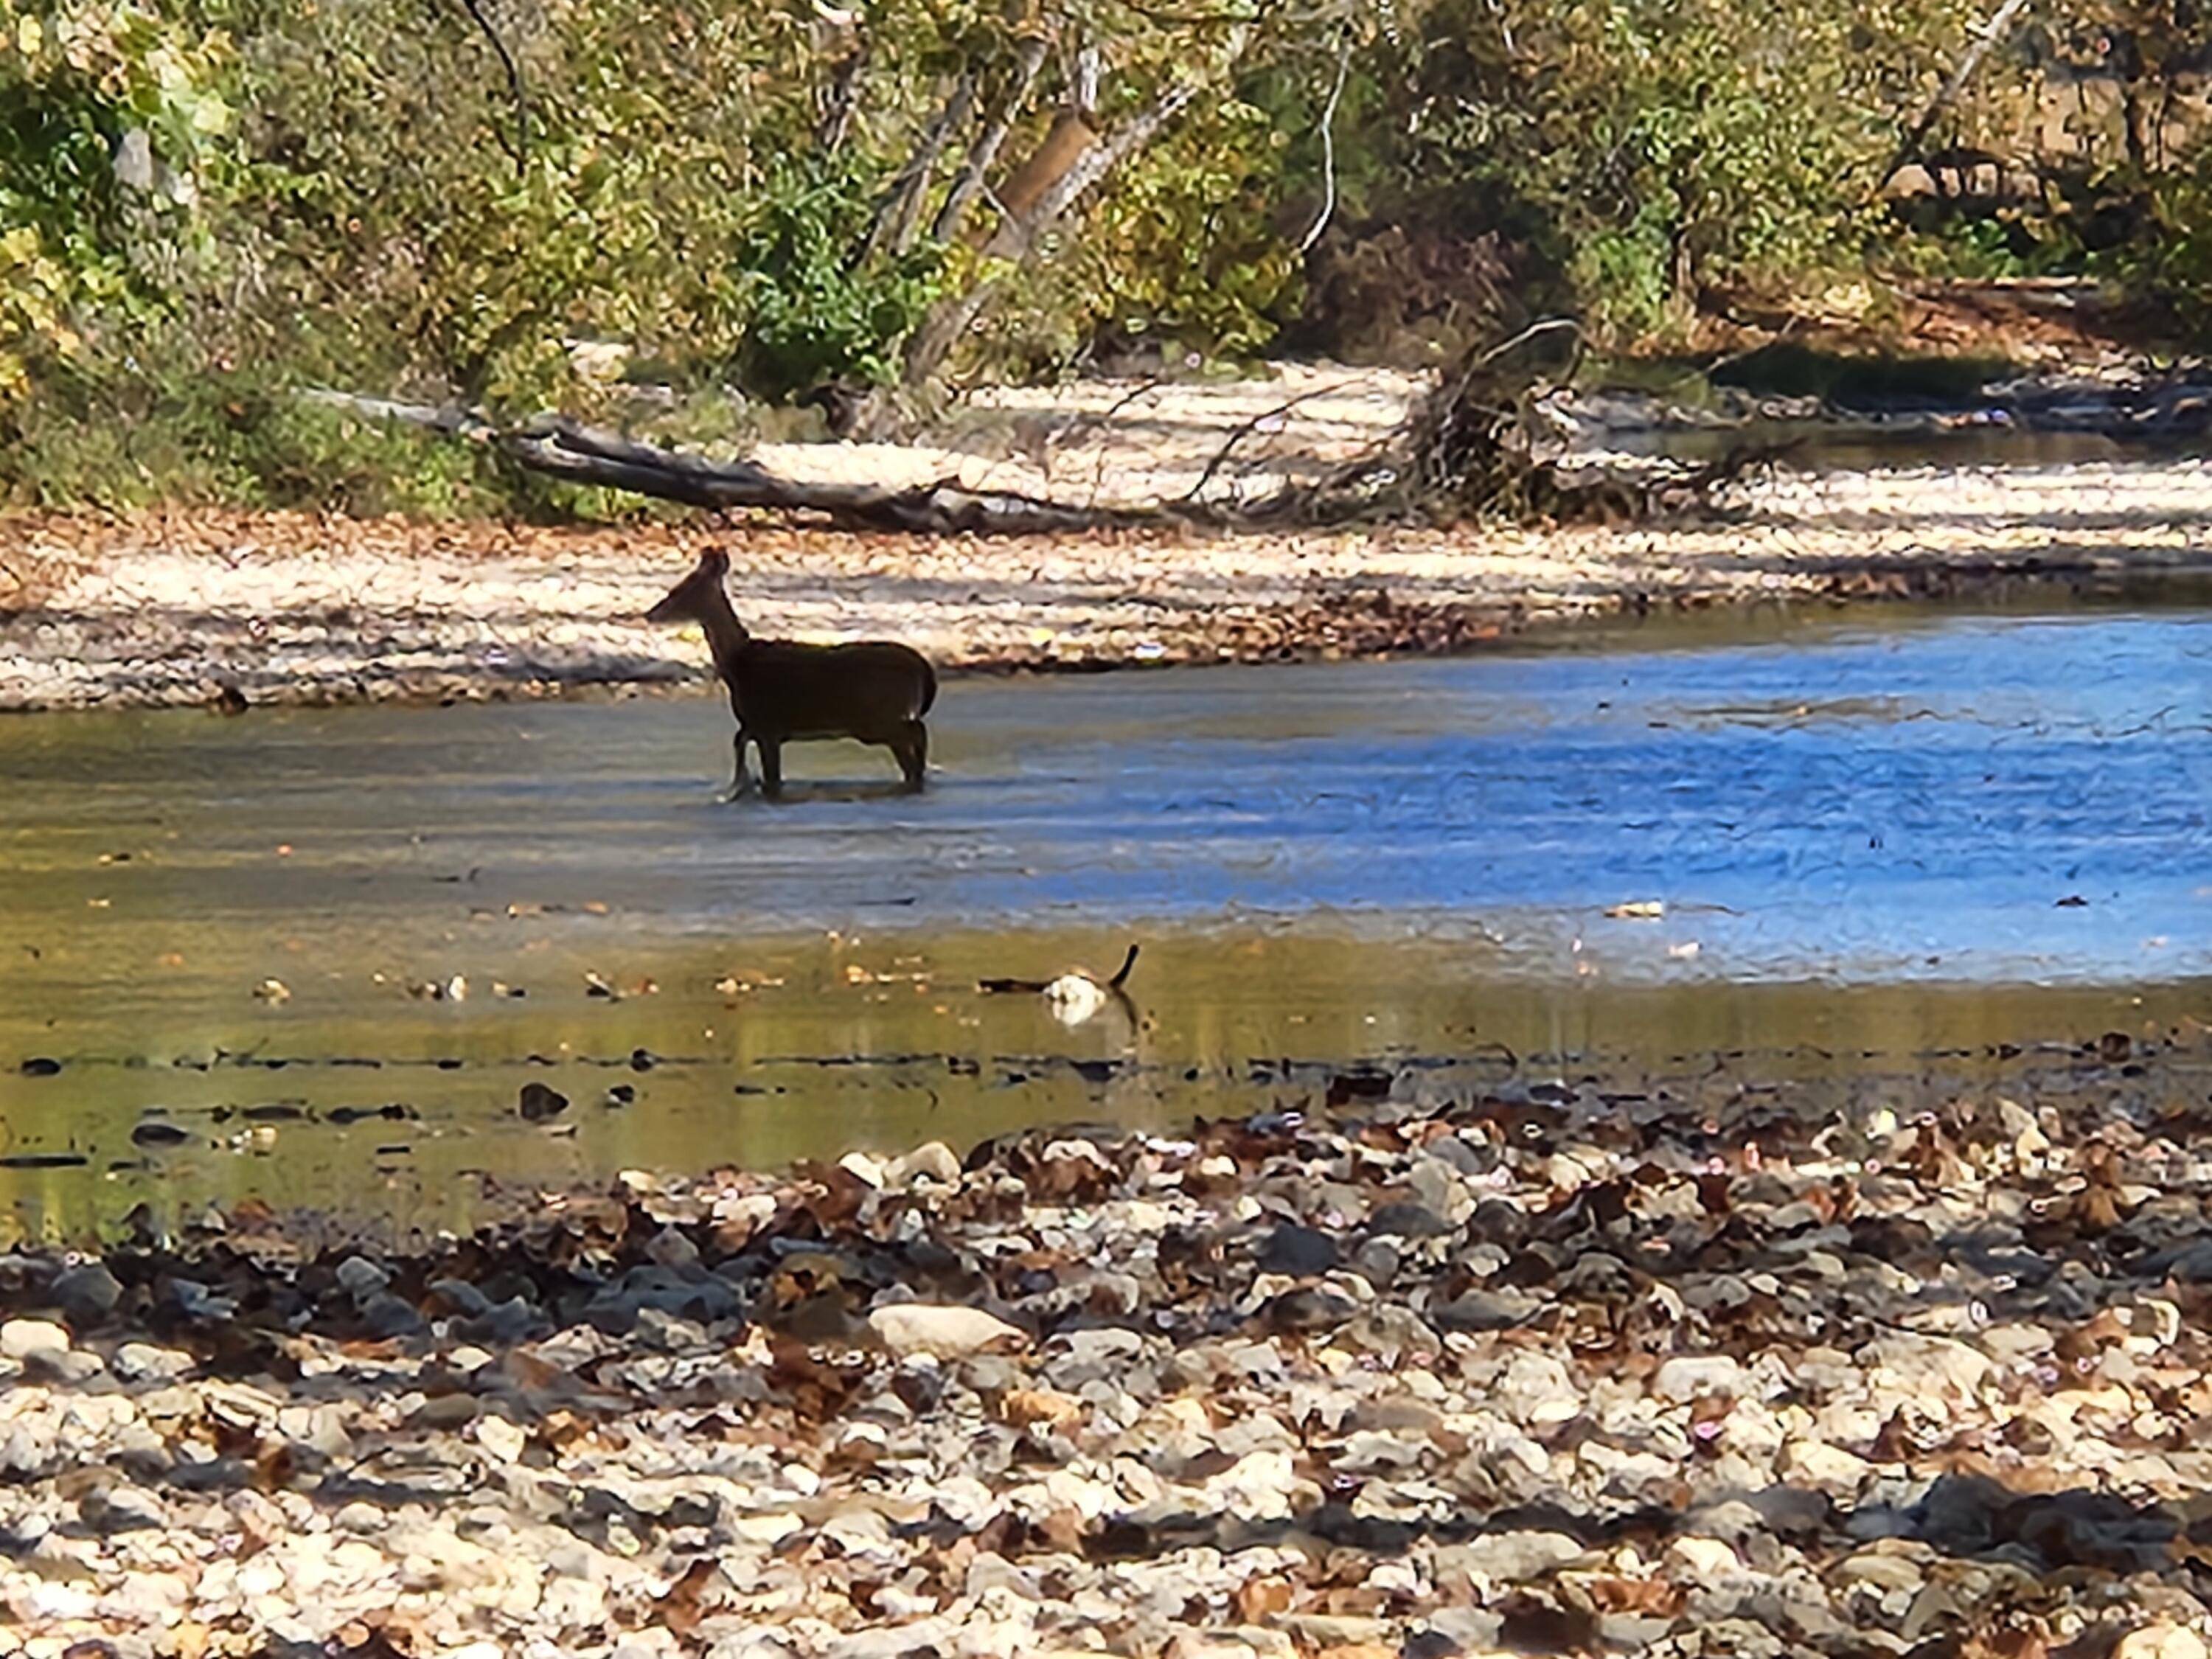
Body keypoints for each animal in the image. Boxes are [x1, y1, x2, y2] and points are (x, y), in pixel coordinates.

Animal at [646, 549, 942, 801]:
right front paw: (741, 783)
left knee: (916, 735)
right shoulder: (758, 725)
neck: (738, 664)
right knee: (914, 748)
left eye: (681, 589)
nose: (650, 614)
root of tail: (923, 667)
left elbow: (770, 777)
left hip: (876, 717)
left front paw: (746, 785)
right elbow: (740, 744)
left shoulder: (769, 724)